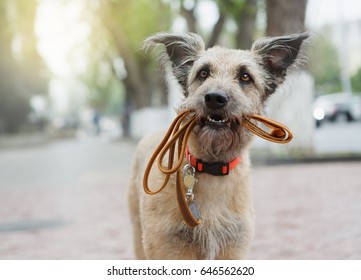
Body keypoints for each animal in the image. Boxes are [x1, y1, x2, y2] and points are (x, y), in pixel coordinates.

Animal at [128, 31, 308, 260]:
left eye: (245, 77)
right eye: (203, 73)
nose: (214, 97)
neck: (212, 167)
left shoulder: (232, 249)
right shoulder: (168, 249)